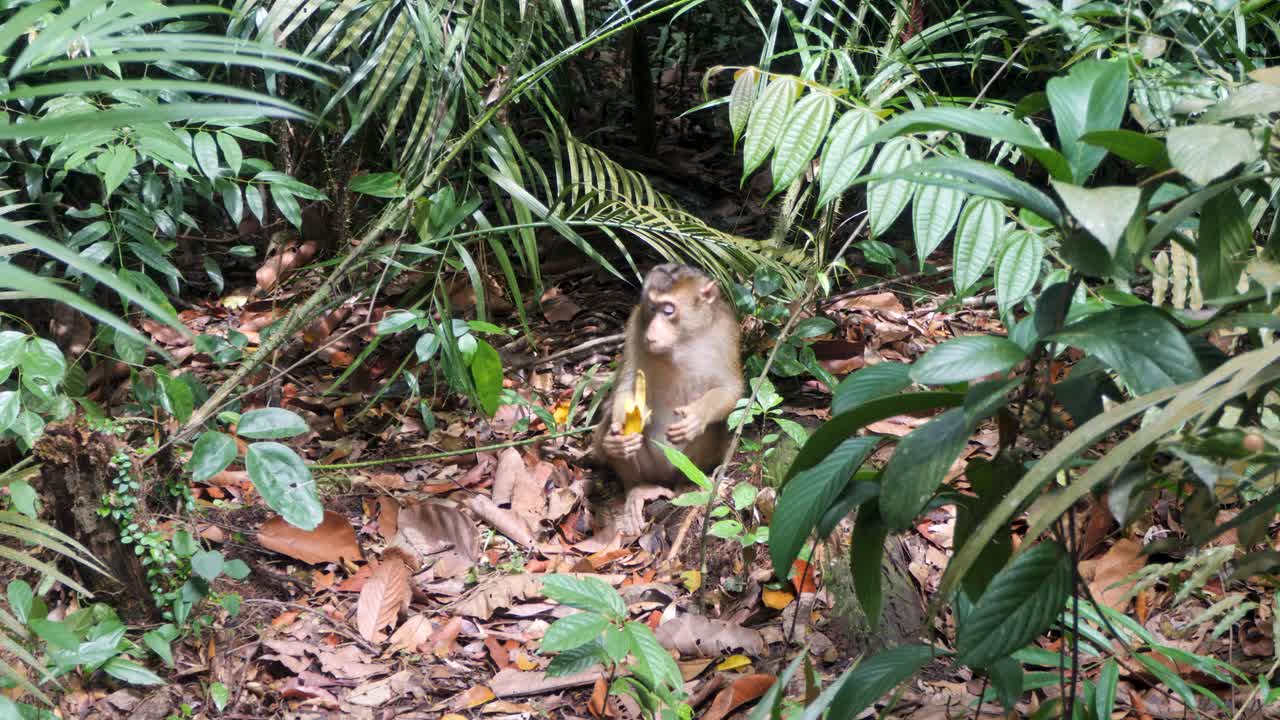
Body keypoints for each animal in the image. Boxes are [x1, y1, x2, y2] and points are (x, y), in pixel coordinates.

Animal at [591, 264, 745, 498]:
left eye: (668, 310)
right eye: (652, 307)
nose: (652, 333)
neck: (683, 340)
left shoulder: (727, 329)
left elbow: (731, 389)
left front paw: (696, 417)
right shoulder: (636, 322)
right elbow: (627, 383)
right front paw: (619, 437)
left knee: (713, 427)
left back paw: (686, 484)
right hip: (649, 469)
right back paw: (635, 485)